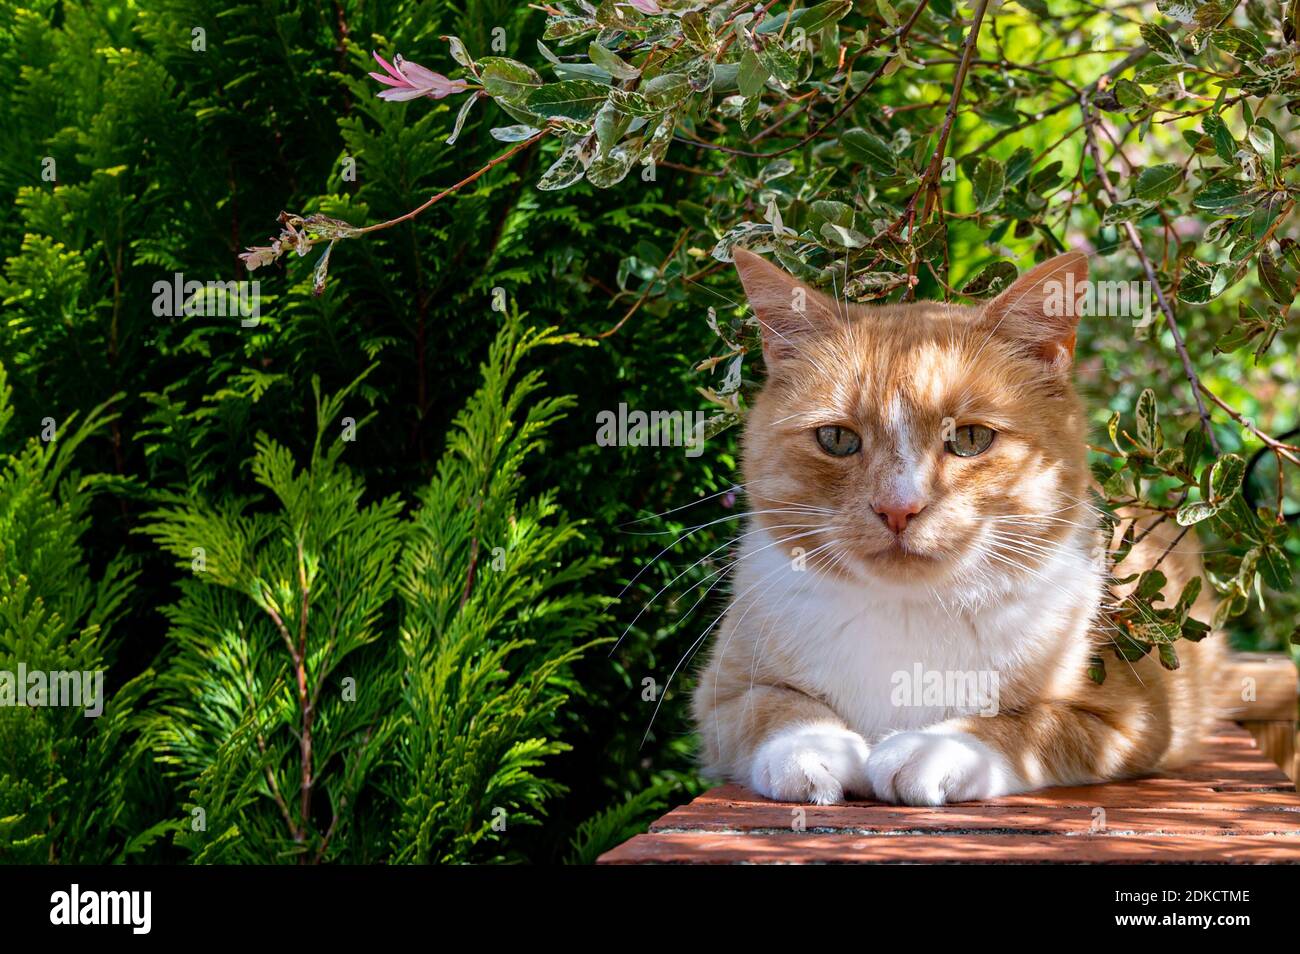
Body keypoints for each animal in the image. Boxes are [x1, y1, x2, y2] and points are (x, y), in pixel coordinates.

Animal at [696, 246, 1222, 805]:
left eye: (970, 438)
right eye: (837, 439)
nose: (898, 508)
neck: (908, 612)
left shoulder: (1132, 717)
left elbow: (1026, 725)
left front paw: (933, 750)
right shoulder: (719, 693)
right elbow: (773, 706)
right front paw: (813, 747)